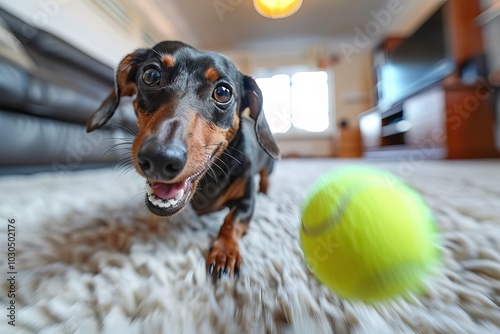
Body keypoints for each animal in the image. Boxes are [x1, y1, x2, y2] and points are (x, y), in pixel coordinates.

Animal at [87, 41, 280, 280]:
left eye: (223, 92)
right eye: (151, 74)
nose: (160, 158)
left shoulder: (246, 202)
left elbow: (231, 222)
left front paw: (225, 253)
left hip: (268, 167)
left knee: (265, 178)